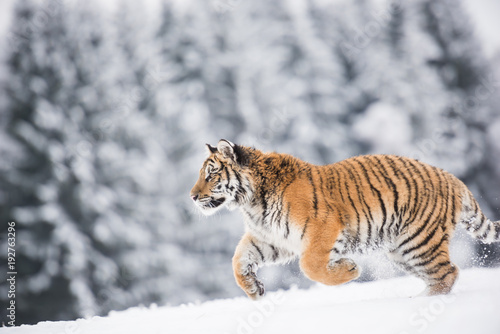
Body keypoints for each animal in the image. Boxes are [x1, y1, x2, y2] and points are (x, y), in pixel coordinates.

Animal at [189, 138, 498, 298]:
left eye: (211, 174)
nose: (192, 196)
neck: (251, 202)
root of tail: (453, 179)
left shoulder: (322, 228)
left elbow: (310, 265)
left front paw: (350, 270)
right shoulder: (272, 238)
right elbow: (239, 260)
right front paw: (254, 289)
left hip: (418, 242)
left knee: (448, 273)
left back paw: (420, 302)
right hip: (403, 249)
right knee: (441, 274)